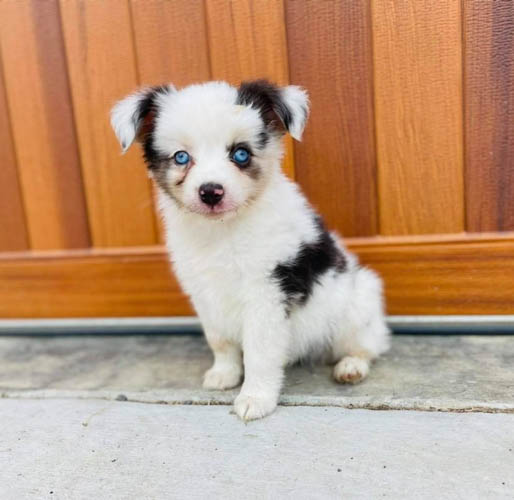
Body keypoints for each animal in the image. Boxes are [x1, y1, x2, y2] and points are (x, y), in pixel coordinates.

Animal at [109, 80, 388, 420]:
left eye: (241, 154)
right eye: (181, 157)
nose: (210, 192)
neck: (224, 230)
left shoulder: (266, 290)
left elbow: (259, 351)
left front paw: (256, 398)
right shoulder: (204, 292)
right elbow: (220, 340)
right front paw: (225, 374)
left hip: (356, 305)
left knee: (368, 344)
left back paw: (351, 366)